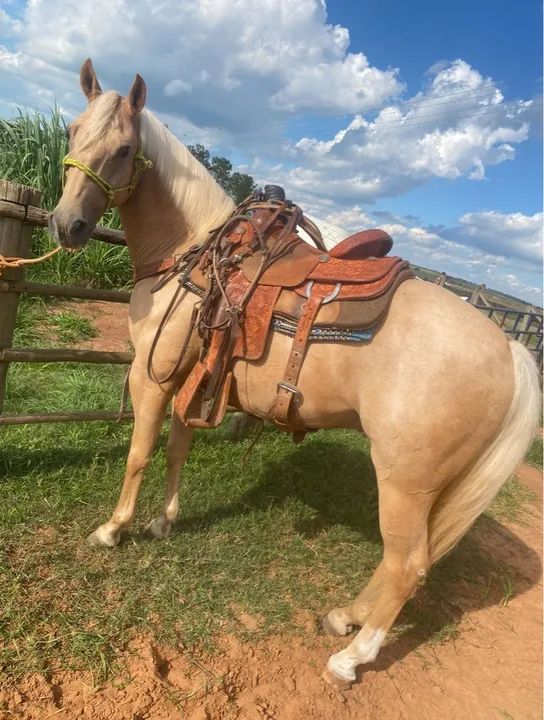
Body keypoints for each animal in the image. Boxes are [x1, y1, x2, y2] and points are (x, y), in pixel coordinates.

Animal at [49, 59, 540, 688]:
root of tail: (510, 351)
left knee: (408, 564)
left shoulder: (152, 378)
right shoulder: (191, 379)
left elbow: (139, 454)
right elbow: (179, 448)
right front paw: (163, 523)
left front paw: (115, 529)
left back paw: (351, 658)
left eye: (125, 148)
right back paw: (346, 617)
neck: (195, 255)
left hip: (406, 481)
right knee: (403, 560)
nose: (66, 225)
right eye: (71, 131)